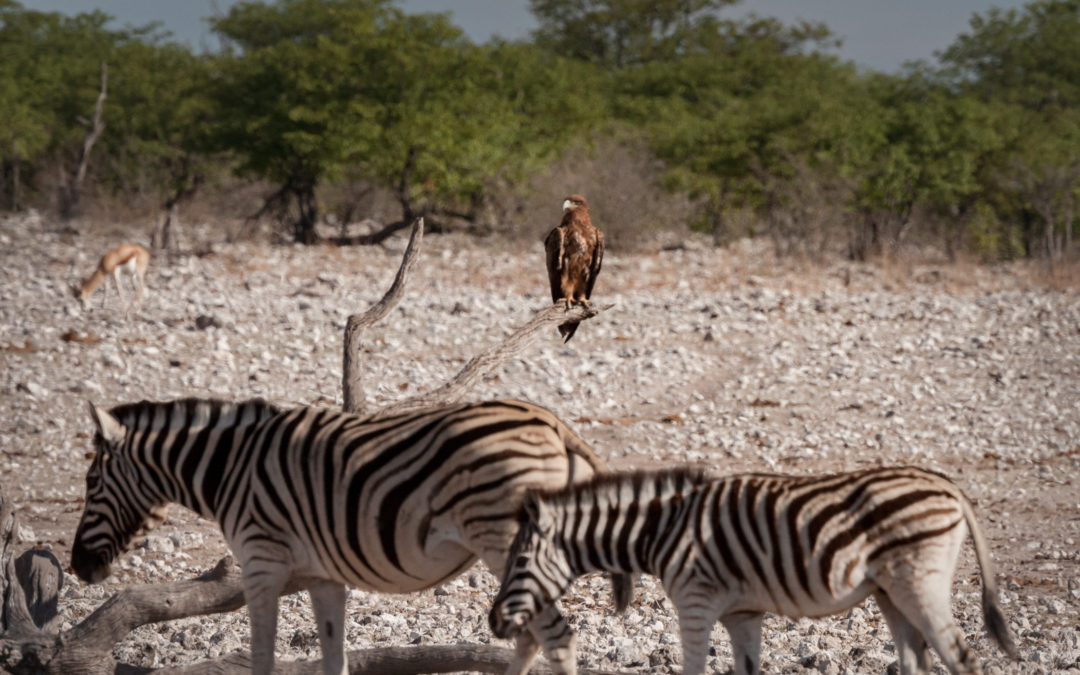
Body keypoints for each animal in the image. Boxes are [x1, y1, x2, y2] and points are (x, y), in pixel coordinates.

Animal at [71, 397, 630, 669]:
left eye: (91, 482)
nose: (77, 566)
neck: (230, 468)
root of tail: (553, 424)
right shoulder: (324, 576)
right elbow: (333, 657)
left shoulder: (260, 562)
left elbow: (262, 657)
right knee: (533, 639)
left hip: (504, 542)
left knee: (556, 638)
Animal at [494, 466, 1015, 673]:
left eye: (518, 561)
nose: (493, 621)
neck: (661, 531)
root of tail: (950, 487)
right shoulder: (742, 614)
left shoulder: (695, 604)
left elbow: (693, 670)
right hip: (890, 593)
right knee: (917, 660)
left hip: (918, 585)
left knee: (962, 658)